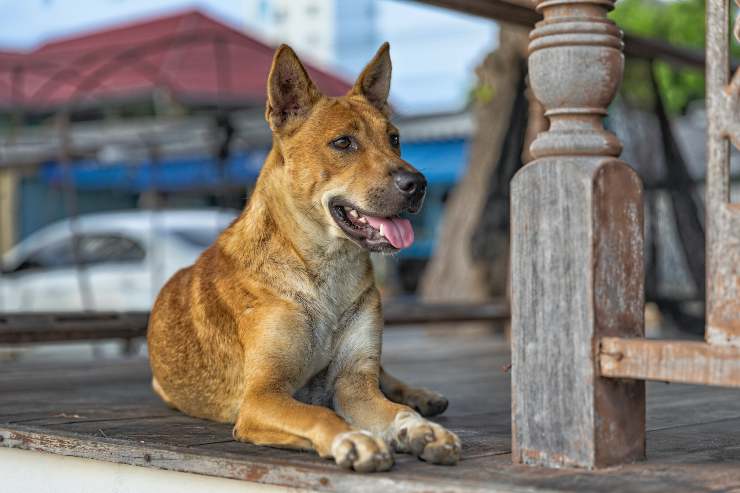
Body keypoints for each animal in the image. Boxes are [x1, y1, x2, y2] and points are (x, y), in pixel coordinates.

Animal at [147, 41, 460, 468]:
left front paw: (421, 429)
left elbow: (394, 411)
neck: (325, 269)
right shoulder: (262, 396)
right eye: (343, 143)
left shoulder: (355, 384)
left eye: (394, 139)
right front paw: (352, 438)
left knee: (387, 377)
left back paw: (421, 397)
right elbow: (319, 414)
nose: (418, 184)